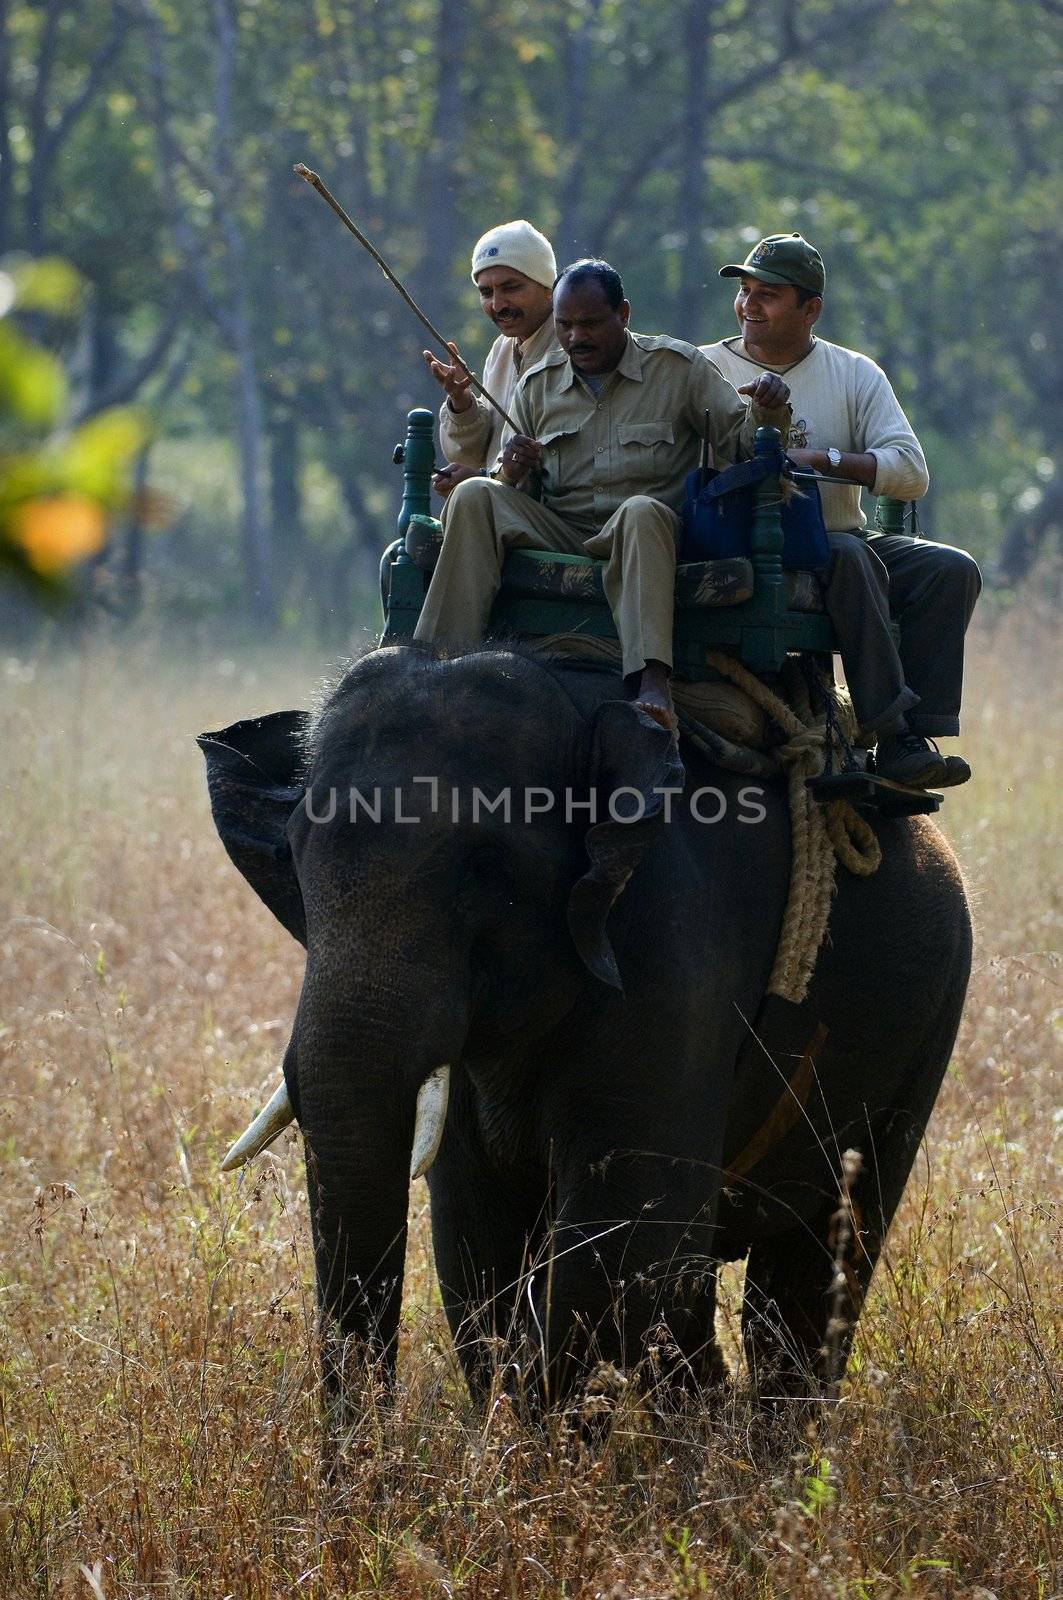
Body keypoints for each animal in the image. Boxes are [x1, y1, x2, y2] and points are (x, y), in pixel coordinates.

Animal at [199, 640, 973, 1414]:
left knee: (808, 1274)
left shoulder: (670, 945)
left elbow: (621, 1228)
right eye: (295, 855)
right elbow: (475, 1238)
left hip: (929, 1022)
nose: (370, 1446)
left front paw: (550, 1437)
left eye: (486, 868)